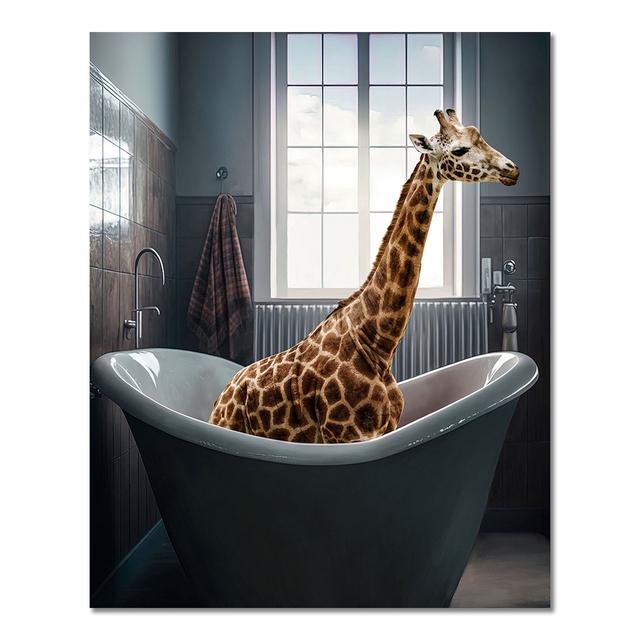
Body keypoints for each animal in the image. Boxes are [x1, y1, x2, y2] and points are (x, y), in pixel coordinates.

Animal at [209, 109, 519, 443]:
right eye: (460, 150)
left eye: (480, 137)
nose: (512, 170)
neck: (377, 343)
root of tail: (221, 395)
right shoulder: (345, 435)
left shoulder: (384, 430)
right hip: (229, 426)